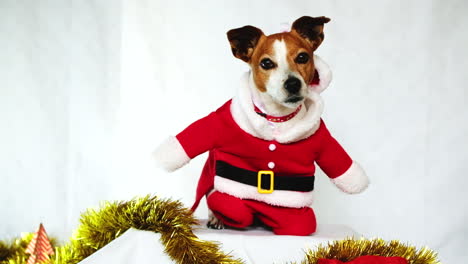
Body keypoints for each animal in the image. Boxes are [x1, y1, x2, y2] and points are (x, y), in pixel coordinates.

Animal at [155, 16, 368, 235]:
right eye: (266, 63)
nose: (293, 83)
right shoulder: (220, 123)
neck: (277, 118)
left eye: (302, 57)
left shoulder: (321, 137)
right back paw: (217, 218)